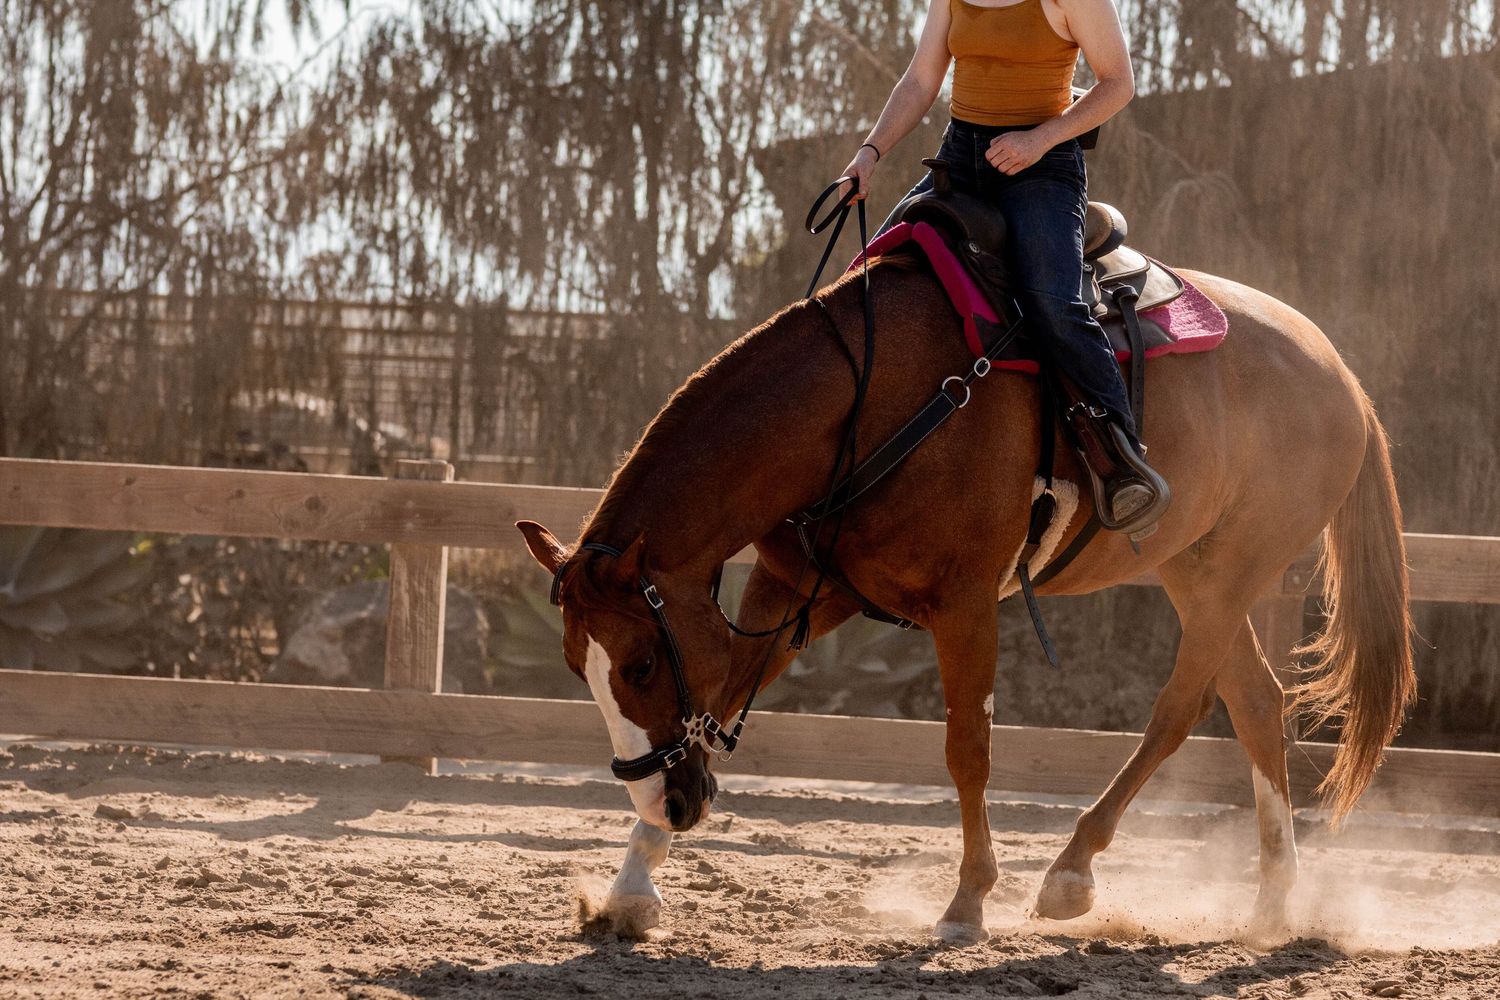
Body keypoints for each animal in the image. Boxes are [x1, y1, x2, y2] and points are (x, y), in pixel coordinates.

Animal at [516, 251, 1415, 943]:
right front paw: (632, 885)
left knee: (1181, 708)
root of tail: (1342, 376)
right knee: (1256, 702)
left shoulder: (966, 605)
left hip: (1228, 574)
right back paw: (1272, 901)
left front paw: (967, 902)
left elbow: (968, 750)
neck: (868, 398)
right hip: (1193, 569)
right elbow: (723, 698)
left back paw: (1071, 871)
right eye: (575, 666)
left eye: (637, 664)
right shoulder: (800, 589)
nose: (664, 799)